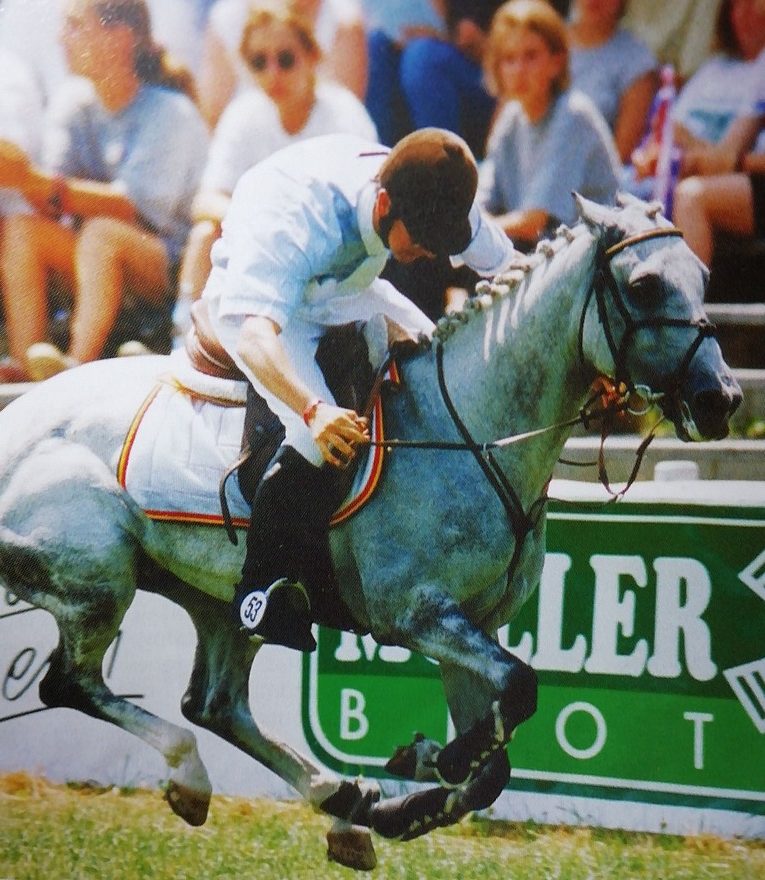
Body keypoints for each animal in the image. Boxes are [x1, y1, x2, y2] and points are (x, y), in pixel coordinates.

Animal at [0, 198, 740, 868]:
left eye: (704, 275)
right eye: (644, 285)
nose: (721, 400)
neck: (470, 430)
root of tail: (20, 416)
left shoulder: (469, 628)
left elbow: (496, 757)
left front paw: (406, 801)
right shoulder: (417, 614)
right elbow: (517, 692)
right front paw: (425, 763)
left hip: (218, 600)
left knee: (212, 704)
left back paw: (340, 803)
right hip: (100, 575)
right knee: (72, 685)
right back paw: (199, 778)